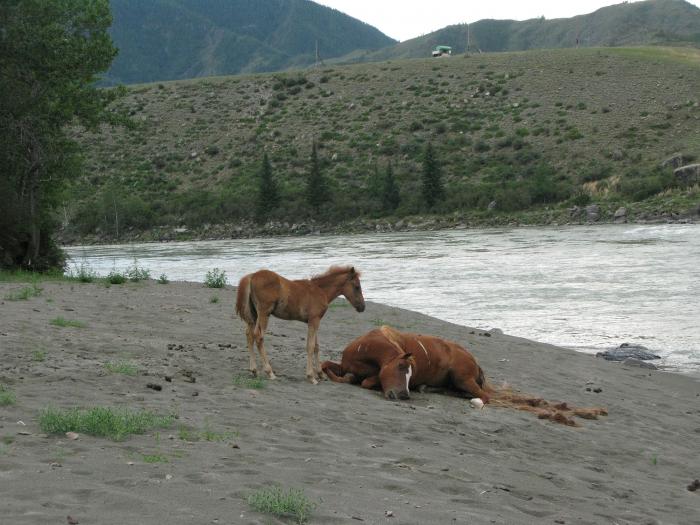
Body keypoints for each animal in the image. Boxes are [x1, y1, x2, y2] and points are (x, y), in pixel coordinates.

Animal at [237, 266, 366, 380]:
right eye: (357, 287)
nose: (362, 307)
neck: (320, 290)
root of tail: (252, 276)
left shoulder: (315, 320)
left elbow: (316, 346)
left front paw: (320, 374)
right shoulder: (314, 320)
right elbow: (310, 346)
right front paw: (311, 376)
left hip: (254, 314)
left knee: (249, 335)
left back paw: (254, 370)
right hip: (264, 313)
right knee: (258, 337)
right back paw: (270, 372)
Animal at [324, 328, 608, 426]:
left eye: (407, 373)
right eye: (400, 368)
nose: (404, 395)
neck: (366, 351)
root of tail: (474, 360)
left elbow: (364, 380)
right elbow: (330, 367)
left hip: (463, 379)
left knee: (484, 397)